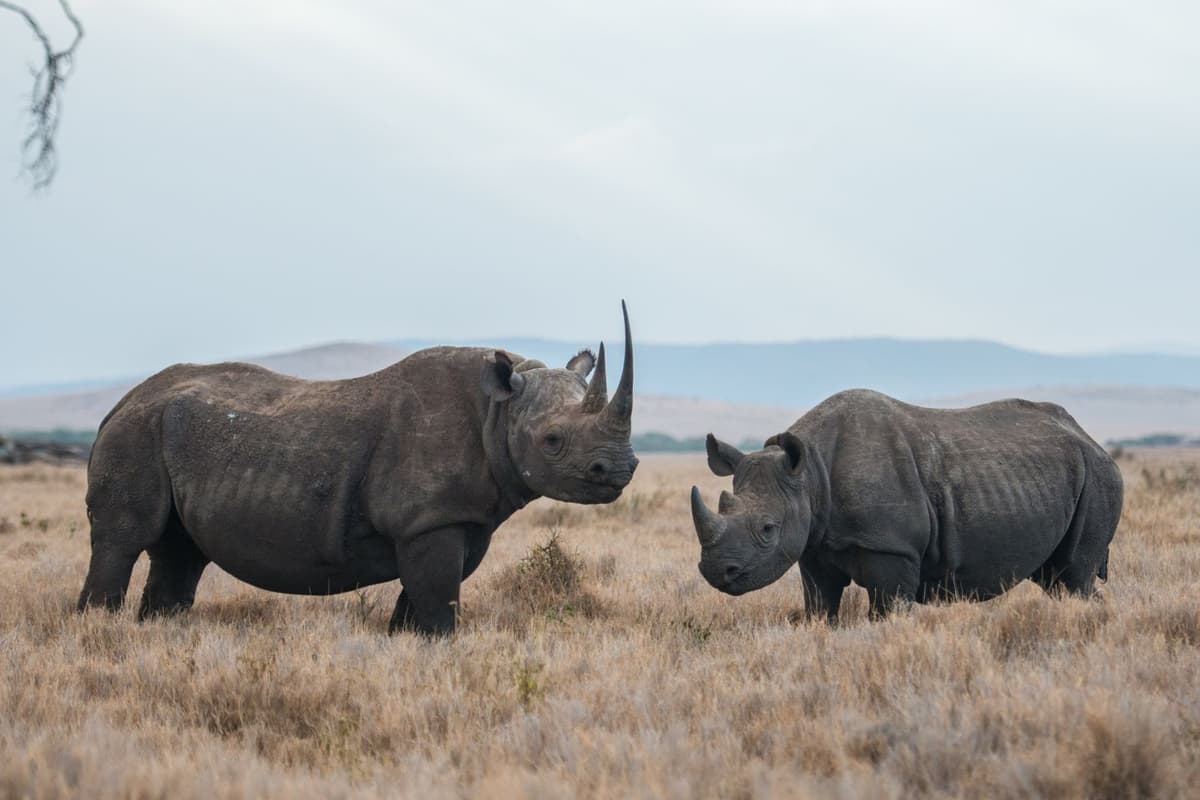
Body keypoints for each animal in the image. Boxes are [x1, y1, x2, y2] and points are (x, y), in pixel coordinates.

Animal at [78, 304, 639, 635]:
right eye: (552, 441)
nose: (619, 470)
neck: (499, 411)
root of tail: (120, 404)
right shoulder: (427, 520)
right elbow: (438, 607)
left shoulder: (455, 518)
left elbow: (420, 604)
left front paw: (405, 645)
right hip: (137, 432)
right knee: (123, 541)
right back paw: (98, 631)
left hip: (161, 429)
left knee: (180, 551)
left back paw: (155, 634)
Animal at [690, 389, 1123, 620]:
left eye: (768, 529)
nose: (716, 571)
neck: (811, 476)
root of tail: (1090, 439)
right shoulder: (813, 545)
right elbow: (821, 607)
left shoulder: (891, 548)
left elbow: (885, 612)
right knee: (1059, 580)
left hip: (1100, 476)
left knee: (1074, 576)